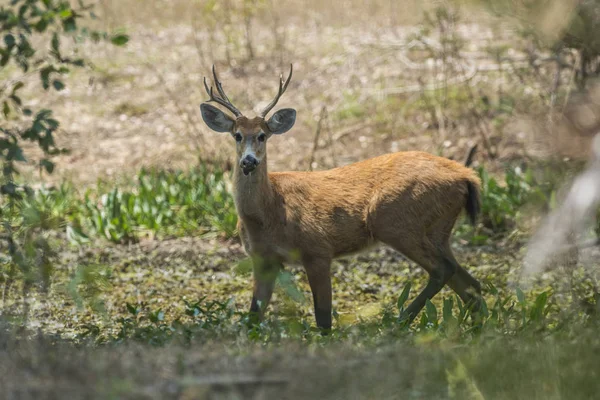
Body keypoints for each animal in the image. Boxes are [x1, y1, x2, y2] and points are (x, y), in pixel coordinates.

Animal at [200, 64, 482, 330]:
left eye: (262, 135)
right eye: (237, 135)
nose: (249, 161)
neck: (268, 214)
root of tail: (467, 176)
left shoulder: (317, 249)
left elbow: (323, 319)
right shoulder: (262, 258)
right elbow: (253, 316)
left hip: (396, 221)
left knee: (444, 270)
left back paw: (398, 322)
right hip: (437, 229)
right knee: (469, 283)